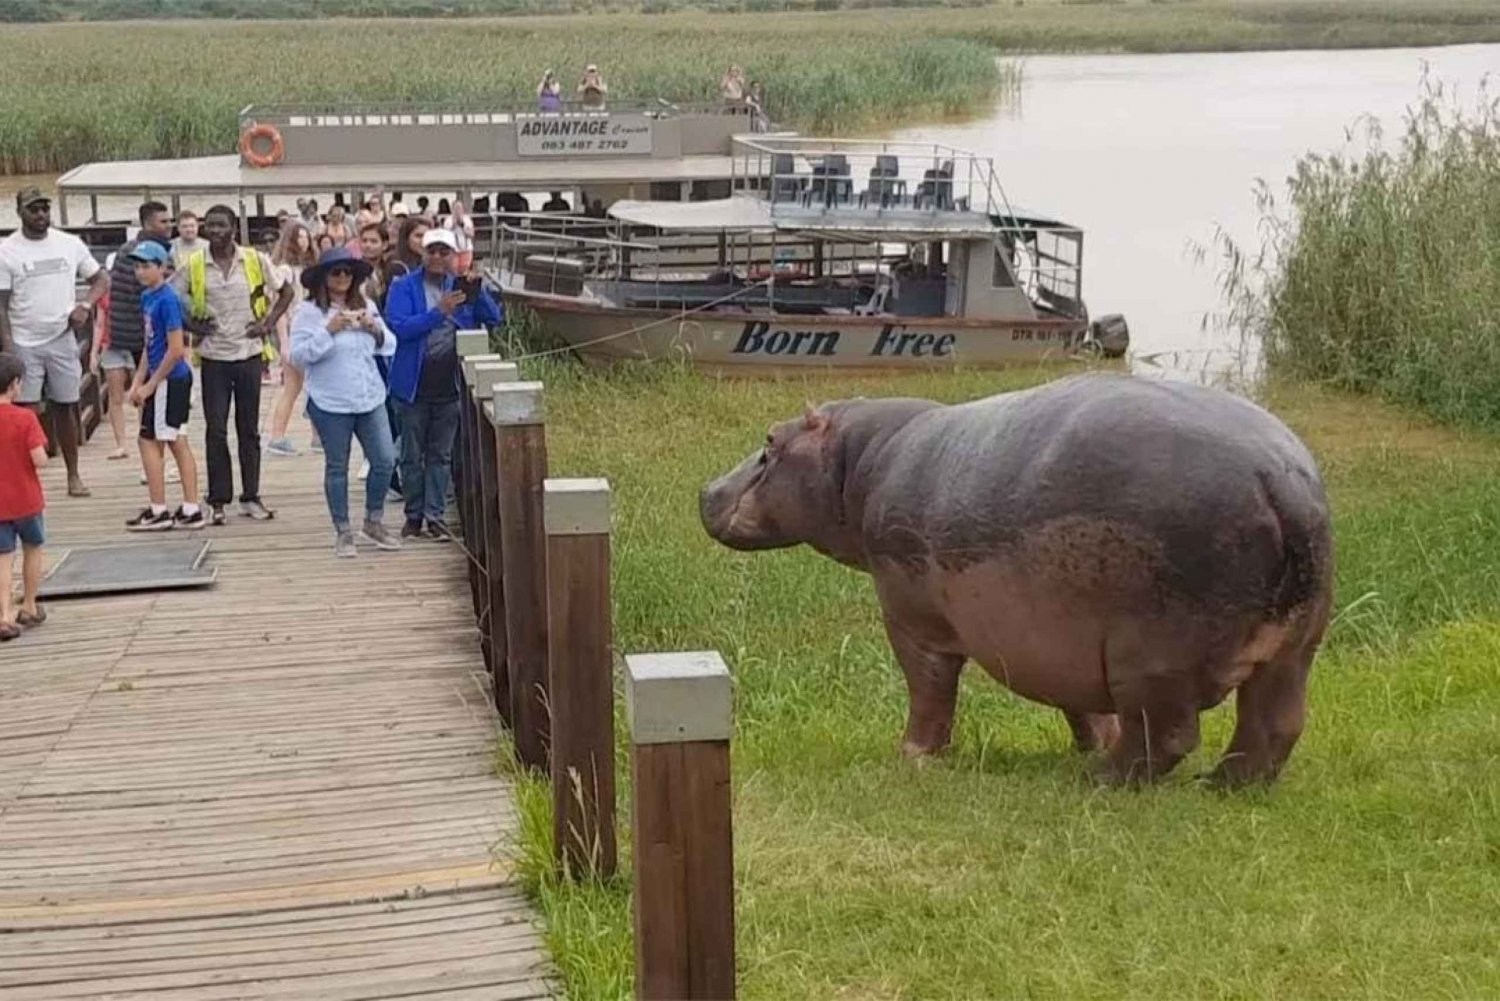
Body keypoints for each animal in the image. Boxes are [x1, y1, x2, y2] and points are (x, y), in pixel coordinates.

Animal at [702, 372, 1338, 786]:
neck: (859, 461)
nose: (706, 490)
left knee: (1169, 734)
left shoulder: (912, 619)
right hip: (1294, 650)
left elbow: (929, 690)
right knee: (1273, 726)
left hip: (1150, 656)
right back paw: (1221, 785)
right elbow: (1080, 705)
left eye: (769, 441)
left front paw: (912, 756)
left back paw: (1102, 781)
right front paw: (1090, 744)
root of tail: (1279, 481)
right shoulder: (1059, 642)